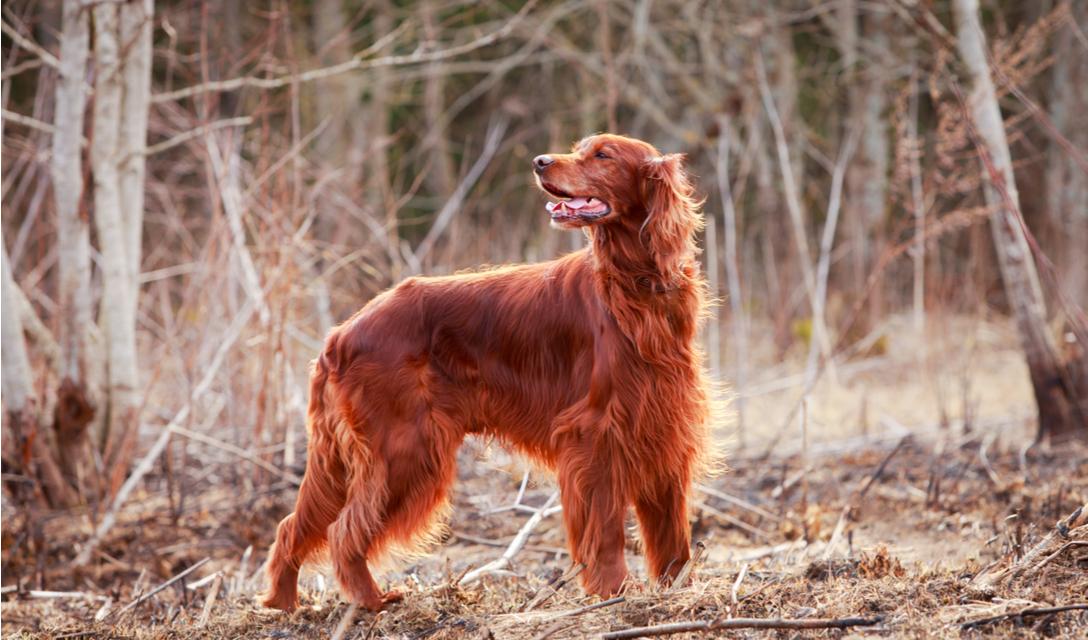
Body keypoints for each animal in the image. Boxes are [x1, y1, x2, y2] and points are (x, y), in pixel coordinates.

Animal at [262, 133, 713, 609]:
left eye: (603, 155)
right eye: (582, 148)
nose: (539, 161)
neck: (636, 287)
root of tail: (340, 334)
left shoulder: (664, 428)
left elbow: (673, 535)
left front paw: (677, 587)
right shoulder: (596, 435)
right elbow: (605, 529)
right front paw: (614, 592)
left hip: (351, 458)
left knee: (292, 526)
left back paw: (283, 602)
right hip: (404, 450)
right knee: (343, 531)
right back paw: (373, 601)